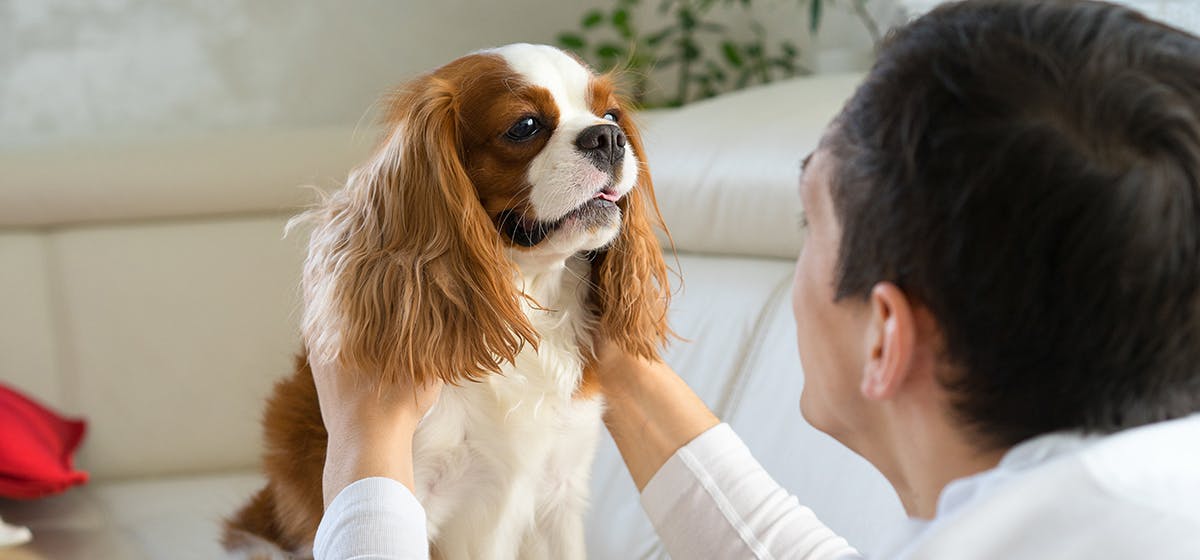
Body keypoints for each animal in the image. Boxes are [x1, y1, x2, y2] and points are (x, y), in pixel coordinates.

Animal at [223, 43, 676, 560]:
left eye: (611, 114)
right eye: (525, 125)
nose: (609, 137)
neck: (526, 294)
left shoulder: (559, 491)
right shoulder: (419, 493)